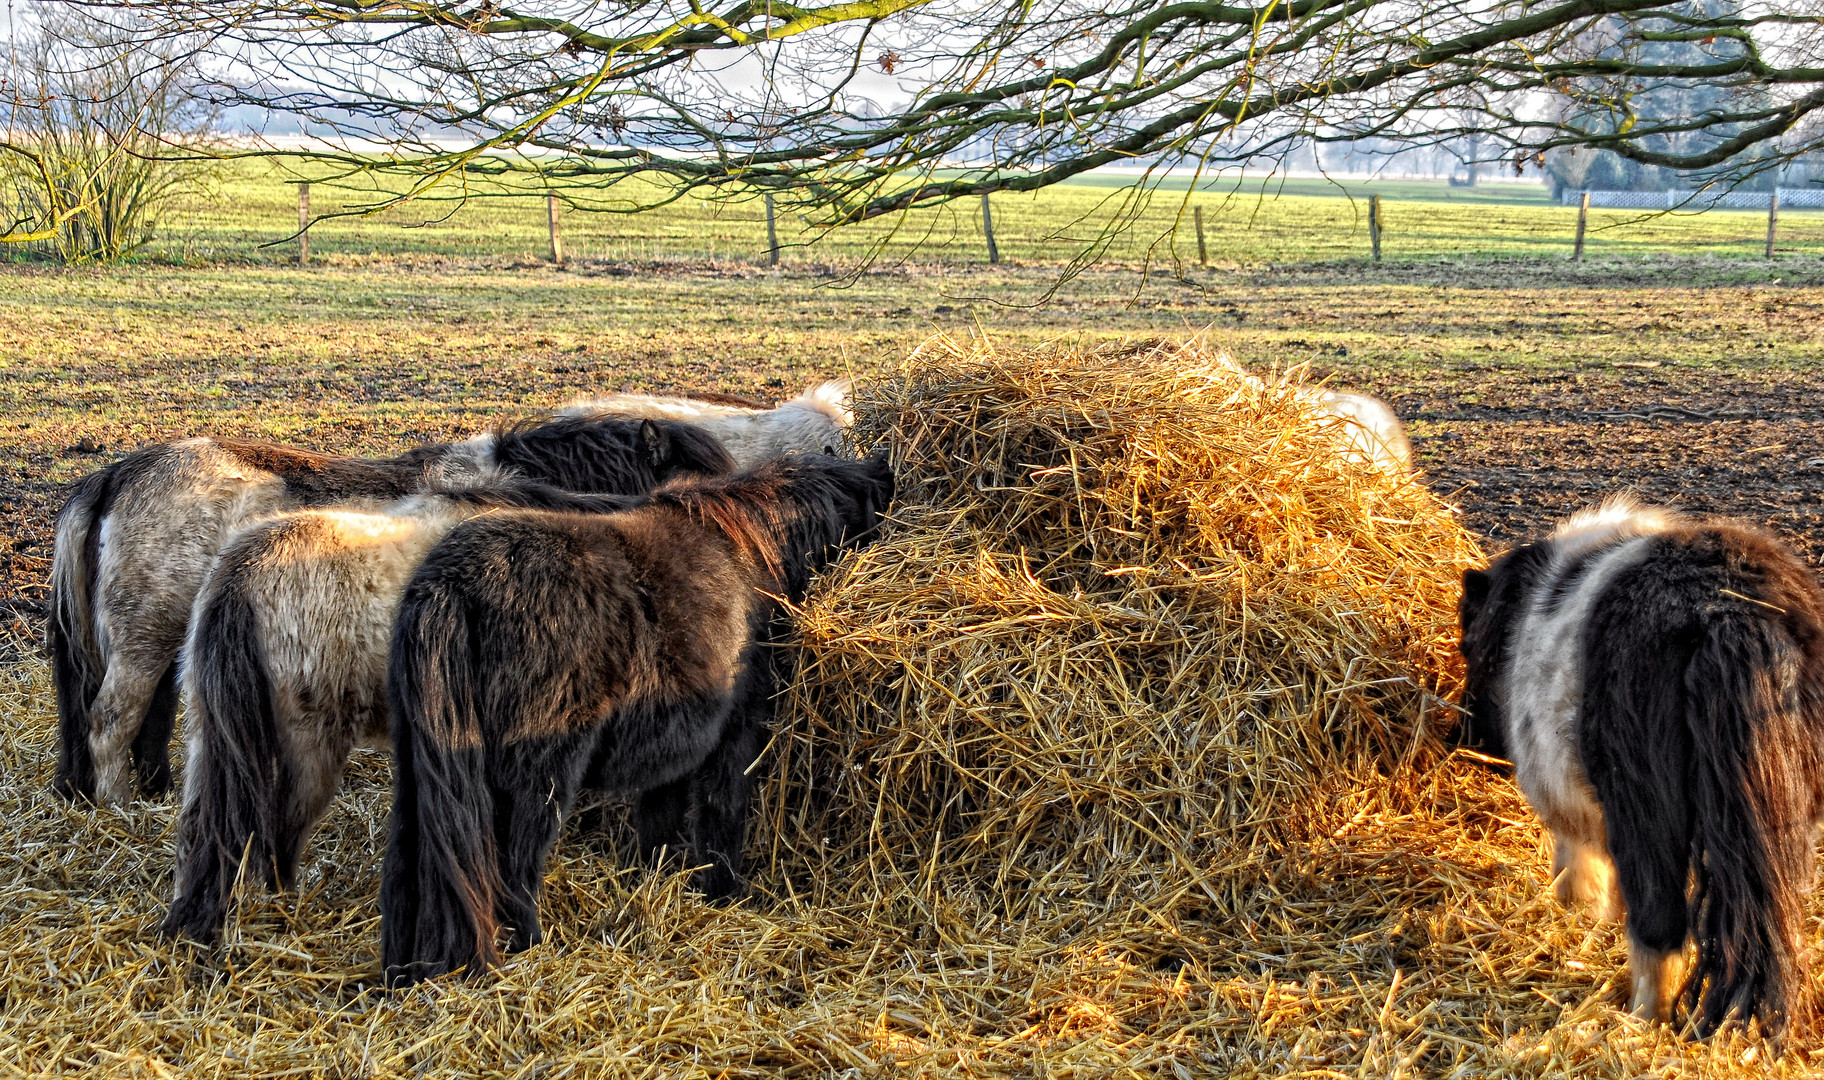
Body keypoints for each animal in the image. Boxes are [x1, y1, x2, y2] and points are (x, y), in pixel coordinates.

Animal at [155, 485, 663, 941]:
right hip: (311, 748)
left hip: (209, 735)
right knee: (280, 831)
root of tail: (241, 573)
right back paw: (284, 905)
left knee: (202, 829)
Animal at [381, 456, 893, 985]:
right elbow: (722, 811)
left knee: (408, 866)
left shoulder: (671, 747)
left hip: (422, 772)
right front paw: (725, 893)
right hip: (536, 782)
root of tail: (449, 583)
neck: (755, 555)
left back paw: (407, 969)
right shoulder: (736, 733)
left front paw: (656, 880)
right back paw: (530, 948)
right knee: (514, 868)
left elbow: (659, 818)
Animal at [1451, 496, 1824, 1036]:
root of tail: (1728, 613)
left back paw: (1640, 1020)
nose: (1461, 740)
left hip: (1646, 818)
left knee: (1658, 927)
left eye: (1466, 645)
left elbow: (1580, 873)